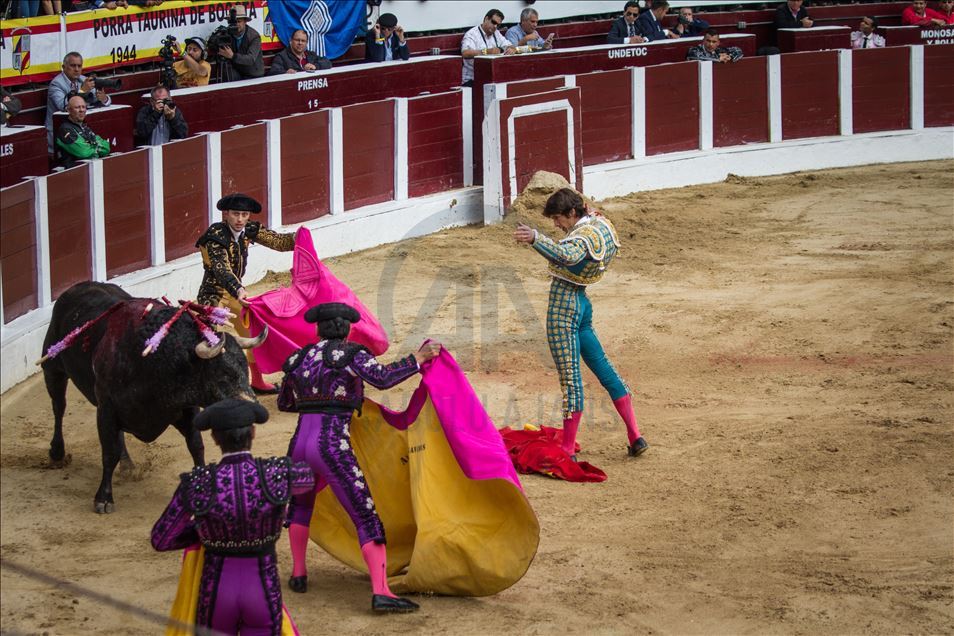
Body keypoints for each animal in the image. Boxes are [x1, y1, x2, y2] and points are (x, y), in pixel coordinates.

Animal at [40, 280, 264, 516]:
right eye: (223, 376)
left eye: (245, 370)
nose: (253, 408)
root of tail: (75, 288)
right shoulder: (106, 409)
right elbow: (109, 453)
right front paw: (103, 498)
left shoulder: (185, 409)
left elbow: (196, 445)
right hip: (53, 369)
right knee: (59, 407)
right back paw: (57, 452)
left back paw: (127, 464)